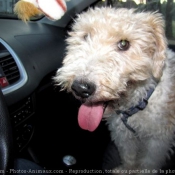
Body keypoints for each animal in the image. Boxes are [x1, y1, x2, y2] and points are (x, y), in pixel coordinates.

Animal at [54, 6, 175, 174]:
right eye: (86, 36)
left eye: (124, 44)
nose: (81, 88)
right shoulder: (122, 134)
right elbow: (128, 156)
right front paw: (126, 169)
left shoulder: (158, 141)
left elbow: (148, 163)